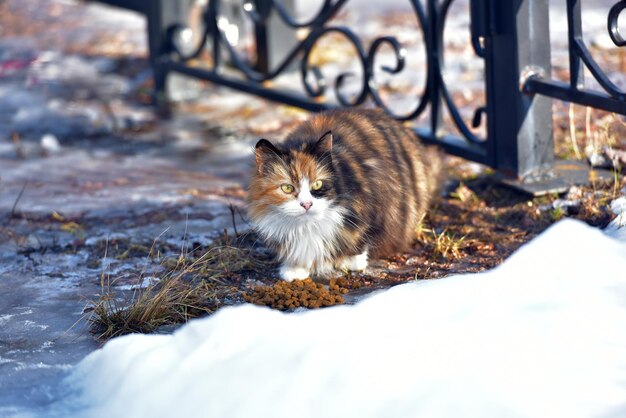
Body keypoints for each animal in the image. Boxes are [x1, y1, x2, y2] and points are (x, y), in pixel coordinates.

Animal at [246, 108, 442, 280]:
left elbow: (362, 238)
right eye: (287, 188)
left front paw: (351, 261)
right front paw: (295, 269)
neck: (306, 227)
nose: (307, 204)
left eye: (317, 184)